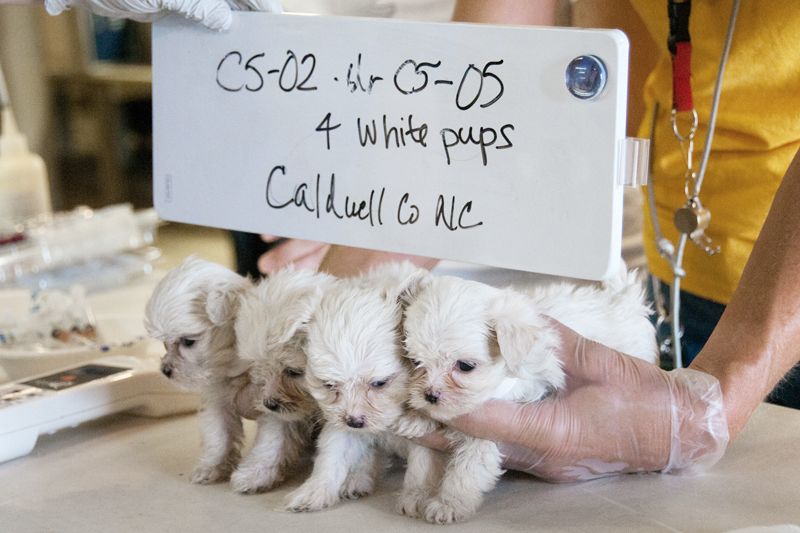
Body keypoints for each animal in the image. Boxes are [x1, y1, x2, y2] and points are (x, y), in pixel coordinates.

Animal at [145, 258, 250, 486]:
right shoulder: (217, 401)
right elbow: (218, 435)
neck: (231, 366)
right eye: (165, 344)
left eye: (188, 342)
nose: (165, 370)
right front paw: (210, 467)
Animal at [231, 270, 334, 494]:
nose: (269, 403)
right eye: (259, 369)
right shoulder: (281, 414)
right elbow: (272, 439)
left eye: (293, 371)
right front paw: (253, 474)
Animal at [284, 264, 444, 516]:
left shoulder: (428, 438)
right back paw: (357, 479)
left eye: (379, 383)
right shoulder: (338, 422)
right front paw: (312, 491)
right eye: (329, 384)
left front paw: (417, 497)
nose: (354, 422)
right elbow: (331, 456)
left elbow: (423, 464)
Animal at [400, 268, 656, 520]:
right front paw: (416, 493)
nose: (430, 396)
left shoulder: (489, 428)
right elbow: (421, 462)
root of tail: (622, 300)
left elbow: (467, 468)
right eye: (415, 361)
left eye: (465, 366)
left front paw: (448, 504)